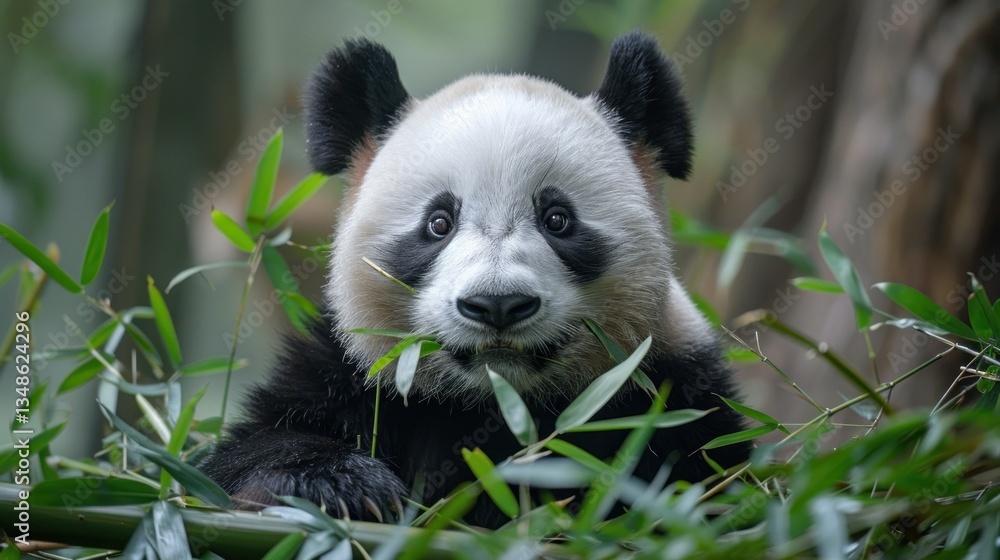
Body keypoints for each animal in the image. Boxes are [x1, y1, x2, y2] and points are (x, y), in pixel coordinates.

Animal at [200, 30, 749, 528]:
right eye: (438, 223)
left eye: (557, 219)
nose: (497, 304)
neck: (498, 402)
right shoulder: (348, 369)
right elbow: (246, 453)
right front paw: (341, 487)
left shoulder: (671, 386)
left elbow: (712, 480)